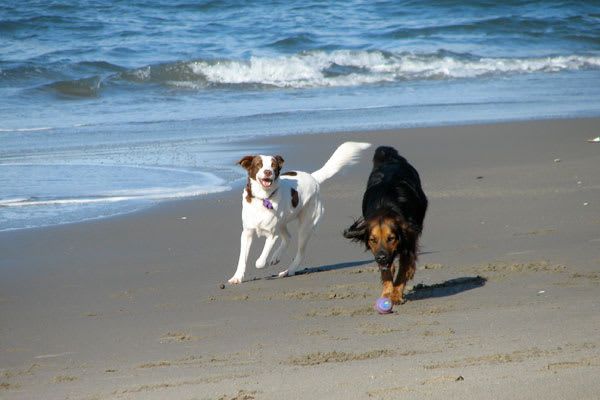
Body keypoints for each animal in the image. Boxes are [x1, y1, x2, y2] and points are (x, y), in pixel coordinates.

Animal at [229, 142, 370, 282]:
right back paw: (276, 257)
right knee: (288, 237)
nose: (268, 172)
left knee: (300, 252)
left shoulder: (271, 235)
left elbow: (261, 261)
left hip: (306, 226)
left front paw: (262, 262)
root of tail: (313, 178)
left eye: (273, 165)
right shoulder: (247, 233)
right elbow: (242, 259)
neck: (263, 198)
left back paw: (288, 270)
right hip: (283, 221)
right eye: (259, 164)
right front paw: (237, 277)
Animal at [342, 145, 426, 304]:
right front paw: (387, 293)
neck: (385, 205)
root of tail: (390, 158)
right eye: (372, 240)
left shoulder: (407, 239)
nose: (381, 257)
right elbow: (386, 272)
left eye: (391, 238)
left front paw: (396, 294)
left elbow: (404, 268)